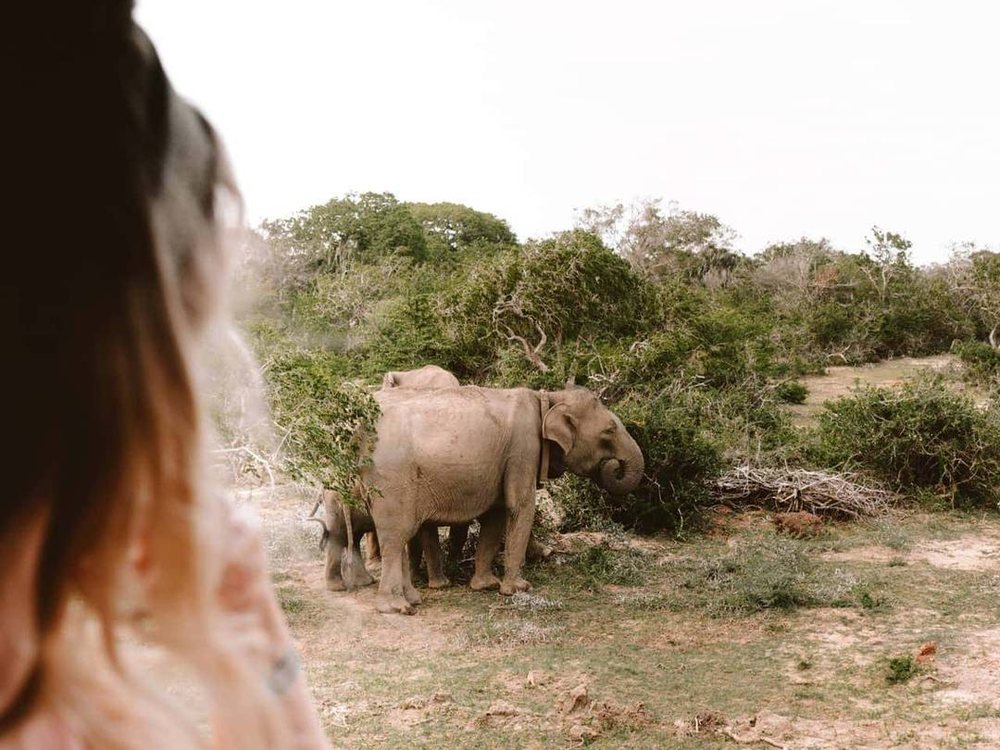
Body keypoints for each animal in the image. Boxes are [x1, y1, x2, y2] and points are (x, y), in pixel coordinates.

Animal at [365, 385, 644, 614]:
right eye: (609, 430)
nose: (614, 465)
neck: (547, 397)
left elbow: (496, 516)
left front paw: (486, 585)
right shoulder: (523, 448)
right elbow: (521, 506)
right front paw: (518, 588)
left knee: (400, 536)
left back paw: (413, 598)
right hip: (394, 481)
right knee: (395, 536)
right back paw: (397, 607)